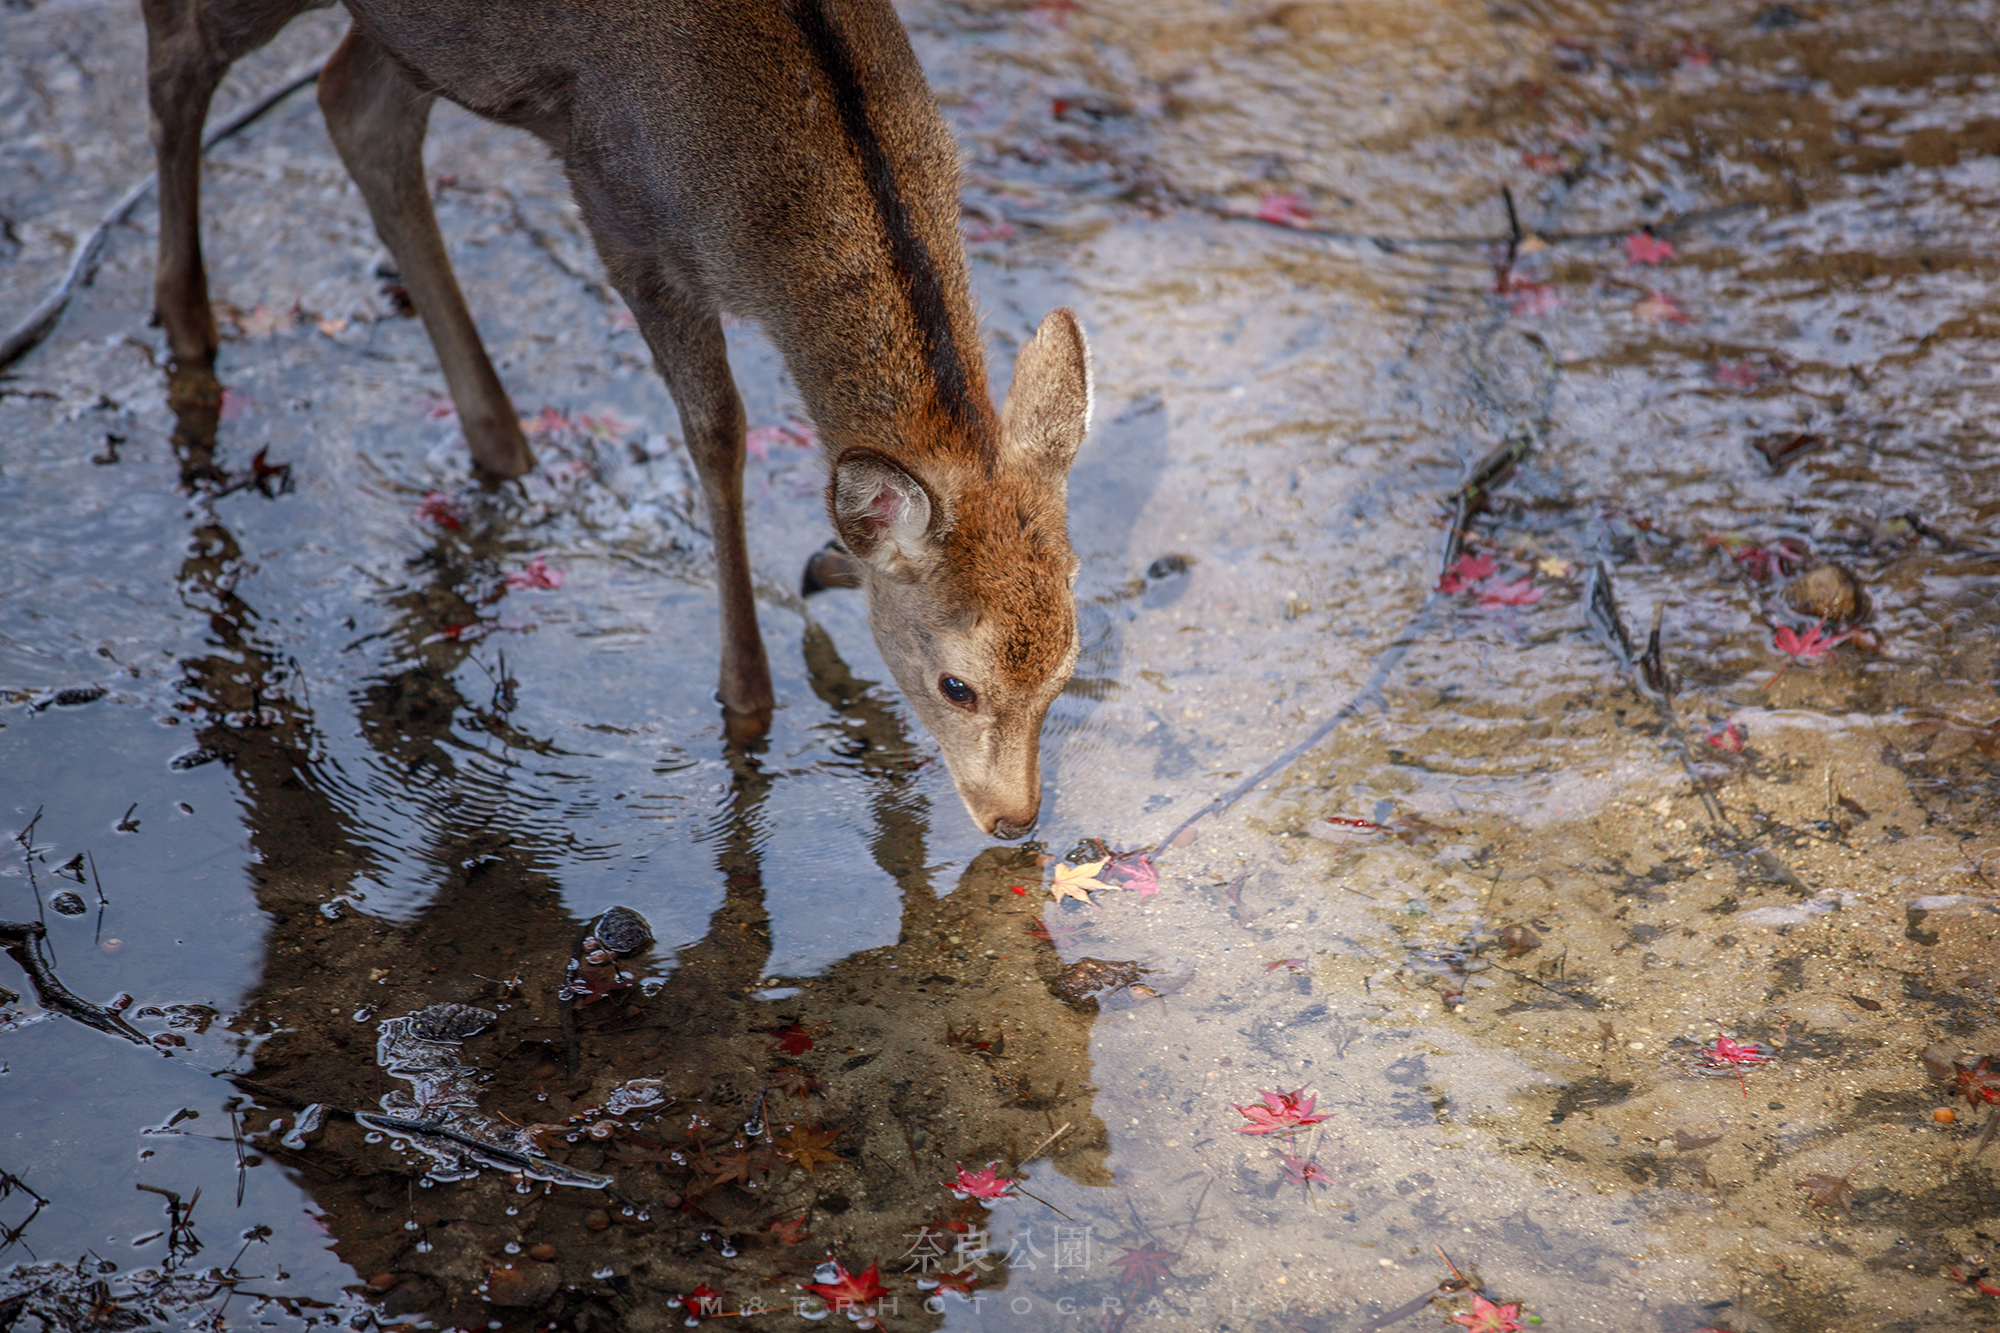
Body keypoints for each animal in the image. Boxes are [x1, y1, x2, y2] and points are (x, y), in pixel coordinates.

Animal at [141, 0, 1096, 832]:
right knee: (184, 49)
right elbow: (718, 430)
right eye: (955, 685)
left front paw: (826, 566)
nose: (1016, 820)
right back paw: (186, 327)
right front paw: (745, 698)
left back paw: (501, 441)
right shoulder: (624, 218)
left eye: (1065, 669)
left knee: (352, 105)